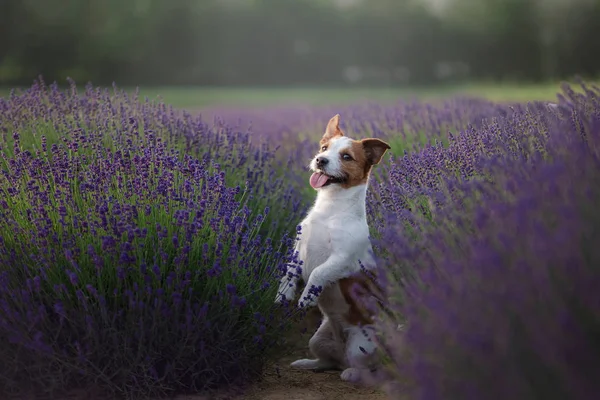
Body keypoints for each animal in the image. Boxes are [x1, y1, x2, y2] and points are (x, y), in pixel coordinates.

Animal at [276, 114, 392, 382]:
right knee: (328, 362)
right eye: (324, 148)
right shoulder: (299, 248)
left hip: (360, 347)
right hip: (318, 339)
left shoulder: (343, 259)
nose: (320, 160)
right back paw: (307, 363)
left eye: (347, 157)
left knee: (366, 368)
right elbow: (290, 270)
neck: (330, 208)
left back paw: (352, 373)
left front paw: (307, 296)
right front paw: (284, 293)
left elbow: (319, 272)